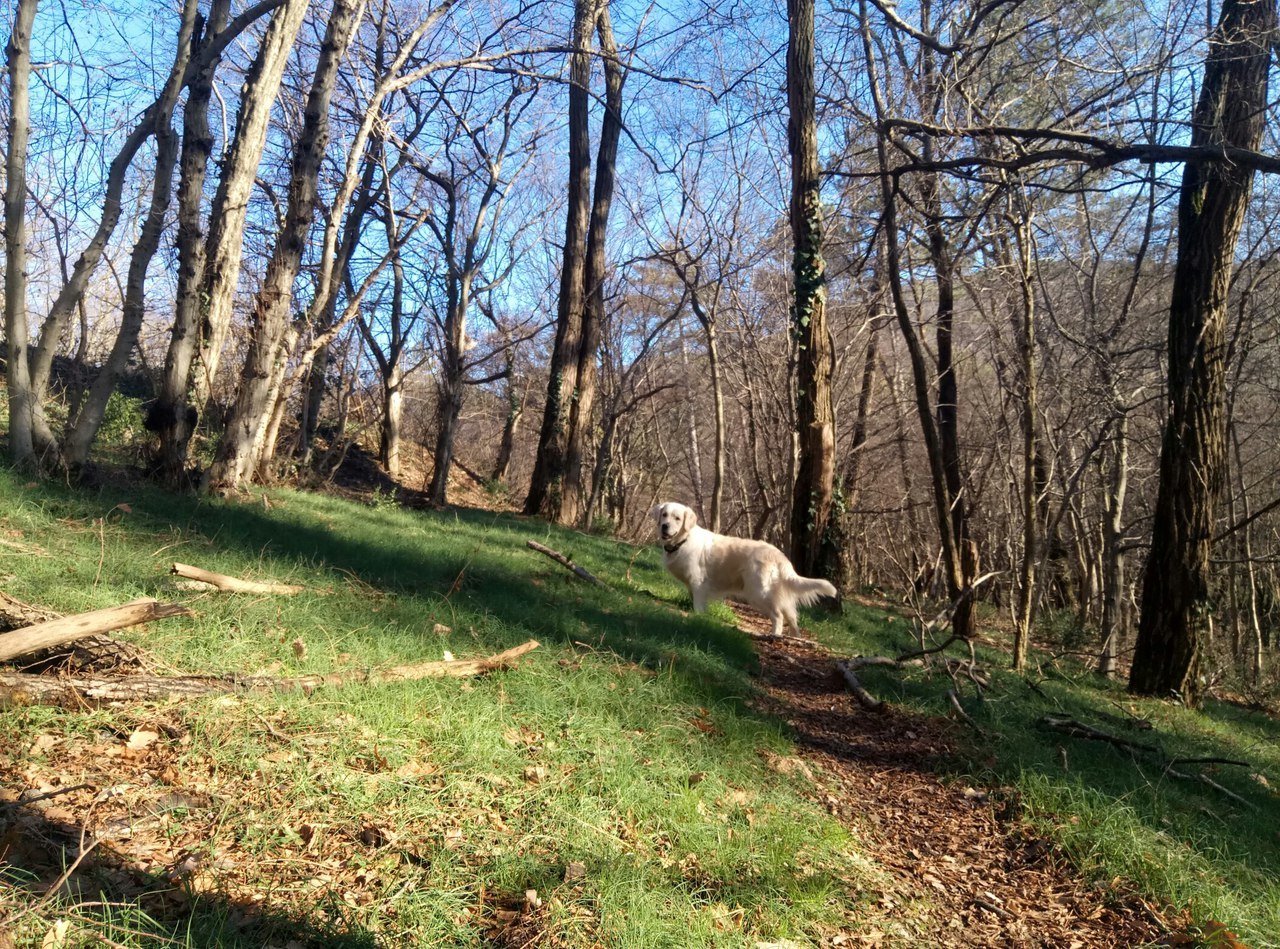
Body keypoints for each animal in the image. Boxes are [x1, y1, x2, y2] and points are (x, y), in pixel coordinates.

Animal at [650, 499, 839, 632]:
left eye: (677, 518)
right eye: (664, 514)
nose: (665, 526)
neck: (683, 541)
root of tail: (779, 555)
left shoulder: (698, 583)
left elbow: (698, 604)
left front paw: (697, 616)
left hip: (758, 592)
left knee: (778, 616)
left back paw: (774, 636)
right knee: (792, 617)